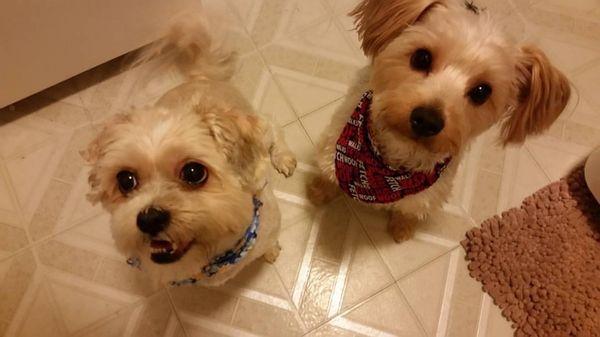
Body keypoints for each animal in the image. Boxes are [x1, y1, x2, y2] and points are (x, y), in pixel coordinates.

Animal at [82, 17, 298, 286]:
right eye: (125, 180)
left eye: (194, 172)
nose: (149, 219)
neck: (218, 258)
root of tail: (200, 77)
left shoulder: (270, 226)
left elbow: (269, 244)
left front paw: (271, 251)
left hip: (261, 125)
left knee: (274, 125)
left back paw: (283, 158)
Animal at [312, 0, 568, 242]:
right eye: (422, 57)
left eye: (482, 91)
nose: (427, 120)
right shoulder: (332, 146)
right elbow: (327, 175)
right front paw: (320, 191)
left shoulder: (431, 192)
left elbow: (410, 209)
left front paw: (402, 227)